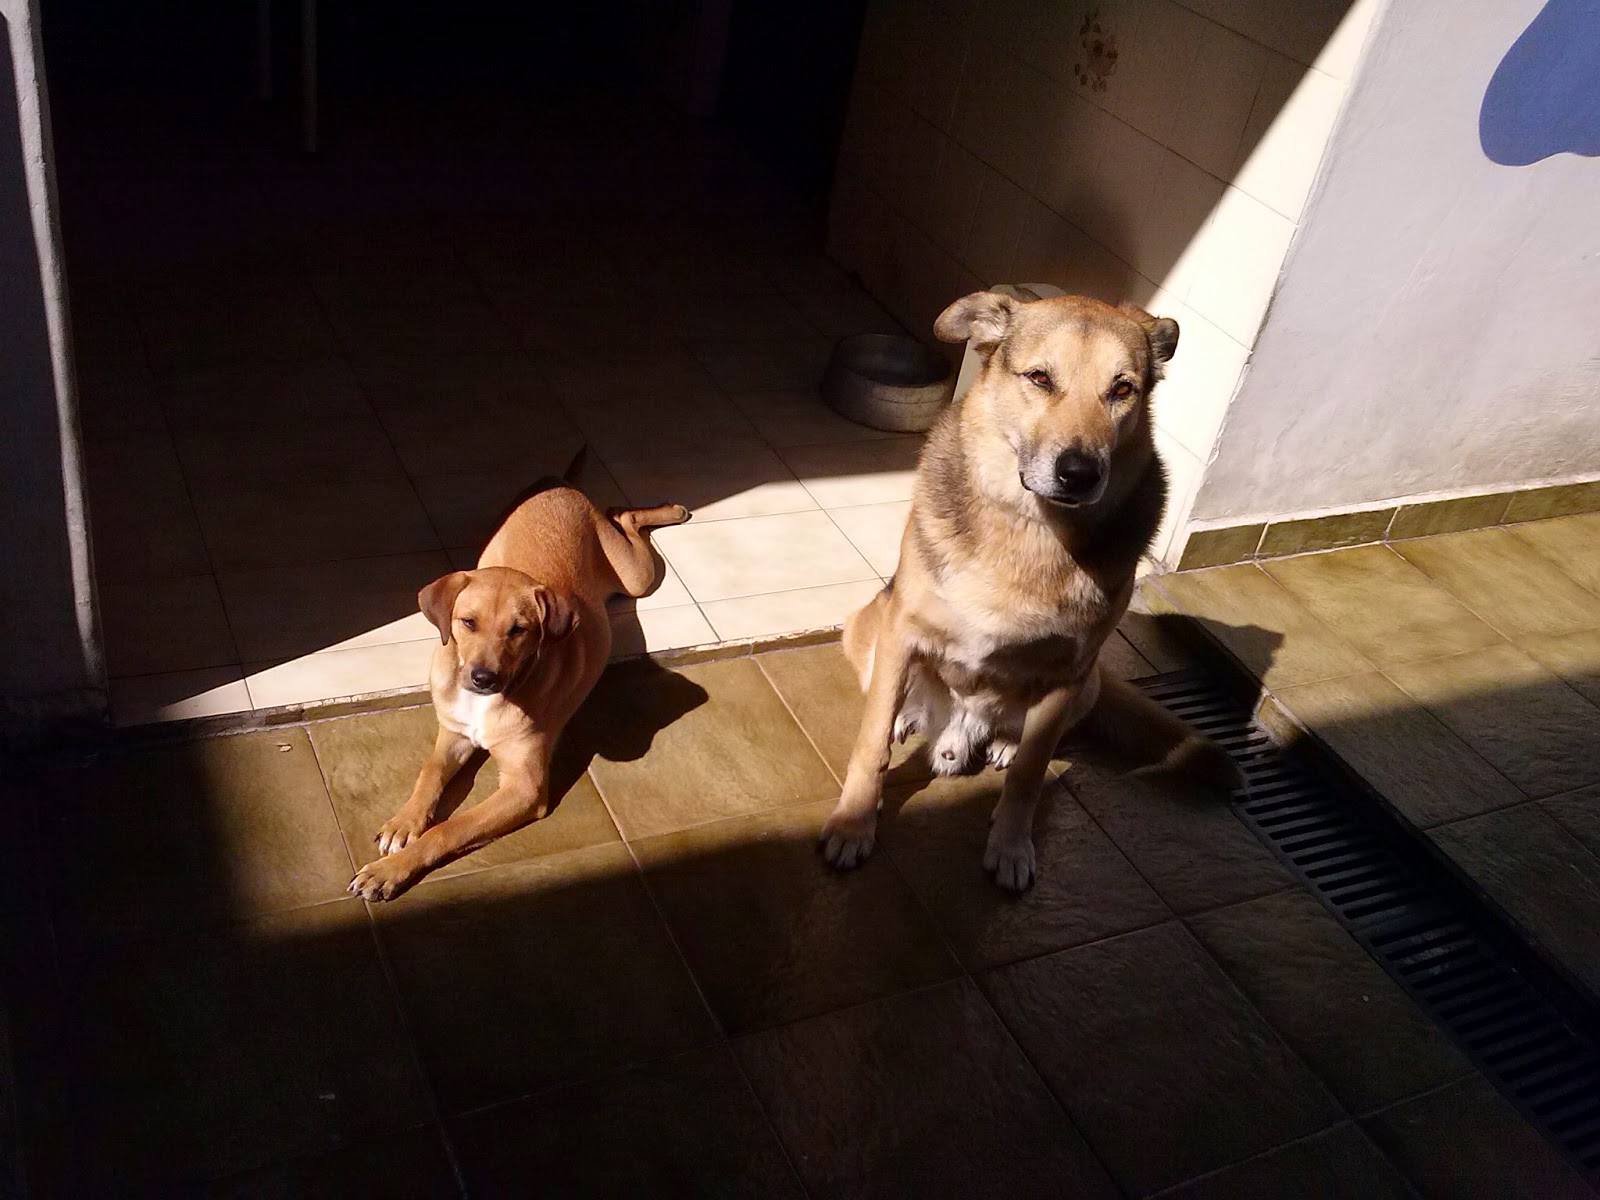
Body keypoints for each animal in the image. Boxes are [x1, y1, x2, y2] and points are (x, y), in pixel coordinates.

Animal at [348, 451, 688, 900]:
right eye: (467, 622)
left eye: (519, 629)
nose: (482, 678)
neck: (489, 702)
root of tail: (559, 483)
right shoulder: (454, 732)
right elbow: (429, 773)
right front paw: (403, 823)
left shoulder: (523, 787)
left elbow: (451, 828)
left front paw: (391, 870)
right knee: (620, 513)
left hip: (636, 577)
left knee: (626, 518)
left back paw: (670, 510)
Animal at [820, 291, 1241, 891]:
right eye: (1040, 377)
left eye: (1123, 389)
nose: (1080, 474)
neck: (1029, 530)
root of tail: (959, 731)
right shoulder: (901, 632)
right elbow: (870, 743)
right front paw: (855, 822)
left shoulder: (1068, 674)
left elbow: (1030, 772)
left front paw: (1012, 844)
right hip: (869, 624)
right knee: (891, 695)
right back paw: (911, 716)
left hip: (1088, 684)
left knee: (1024, 738)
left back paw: (999, 743)